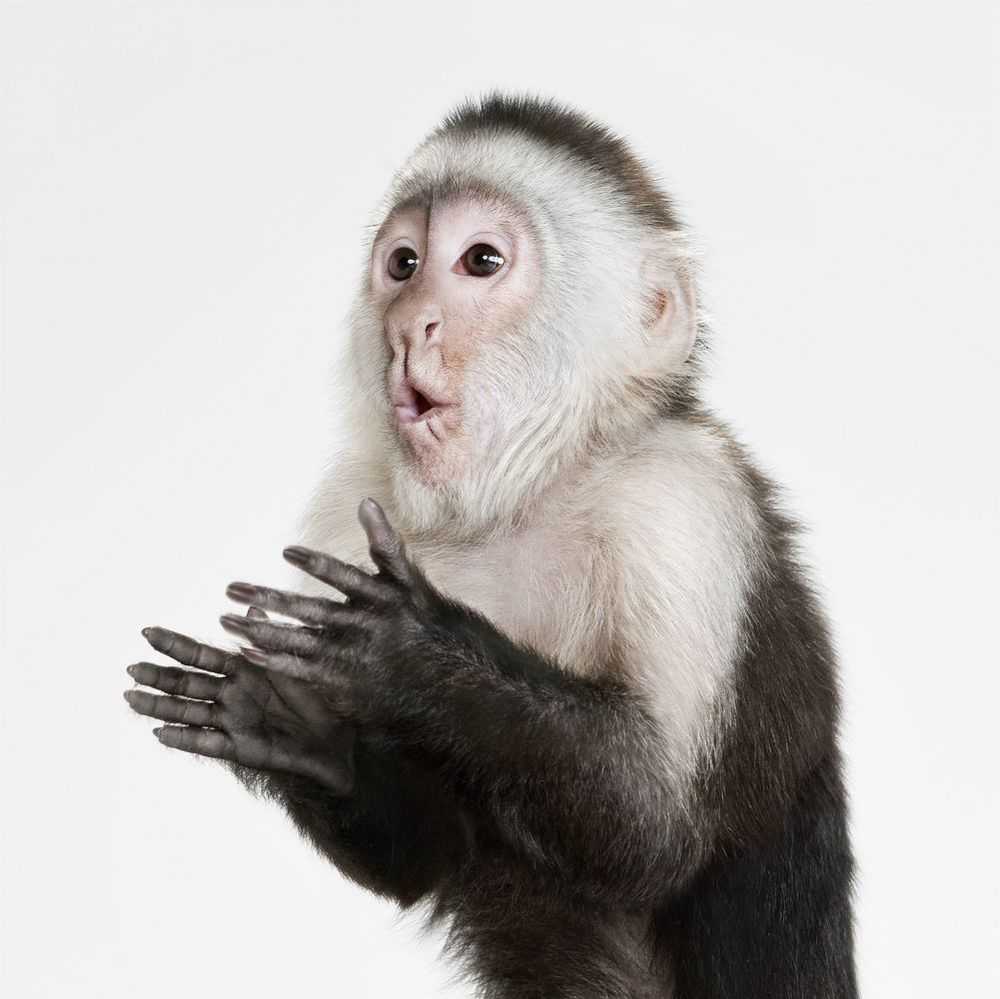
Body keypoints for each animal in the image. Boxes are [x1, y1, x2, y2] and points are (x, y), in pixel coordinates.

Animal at [125, 94, 858, 998]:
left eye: (480, 261)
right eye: (403, 263)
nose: (410, 325)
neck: (519, 499)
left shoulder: (680, 504)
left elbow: (656, 825)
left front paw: (415, 652)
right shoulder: (343, 510)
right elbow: (425, 853)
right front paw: (286, 721)